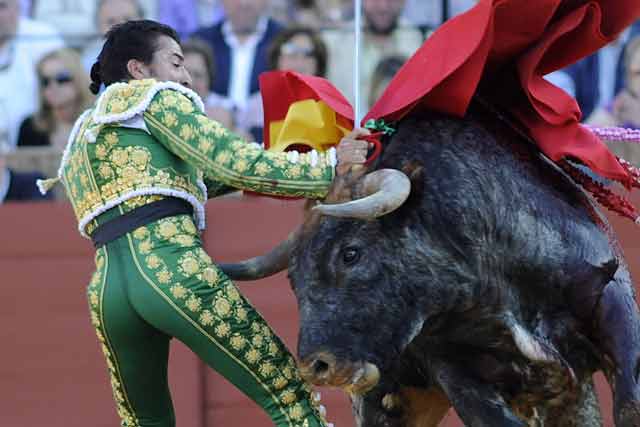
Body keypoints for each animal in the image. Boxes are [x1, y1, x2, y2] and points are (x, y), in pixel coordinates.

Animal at [222, 101, 640, 427]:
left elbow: (629, 406)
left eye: (350, 253)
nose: (316, 366)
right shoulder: (454, 372)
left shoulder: (612, 299)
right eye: (292, 278)